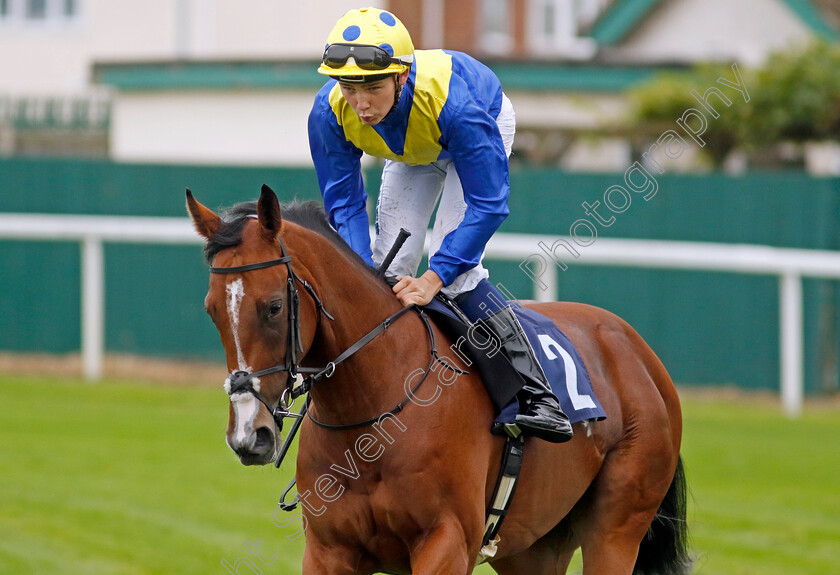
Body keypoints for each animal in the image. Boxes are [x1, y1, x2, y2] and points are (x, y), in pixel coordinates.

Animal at [187, 186, 692, 575]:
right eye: (211, 310)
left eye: (273, 306)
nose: (248, 435)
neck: (377, 415)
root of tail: (638, 351)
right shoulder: (331, 550)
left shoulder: (446, 542)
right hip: (533, 545)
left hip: (616, 526)